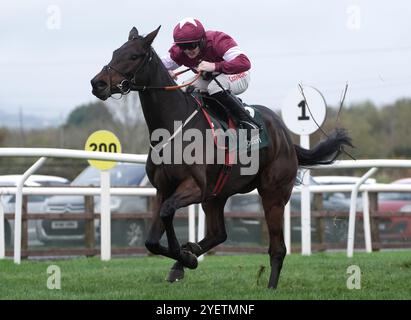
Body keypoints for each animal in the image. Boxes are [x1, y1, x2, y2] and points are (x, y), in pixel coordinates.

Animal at [89, 26, 350, 288]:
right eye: (115, 52)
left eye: (133, 56)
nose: (97, 83)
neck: (173, 125)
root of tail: (285, 136)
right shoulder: (163, 189)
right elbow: (152, 239)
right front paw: (185, 257)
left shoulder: (195, 187)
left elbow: (167, 212)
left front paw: (184, 255)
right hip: (217, 195)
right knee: (218, 233)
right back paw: (188, 257)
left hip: (273, 195)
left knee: (278, 248)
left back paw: (270, 286)